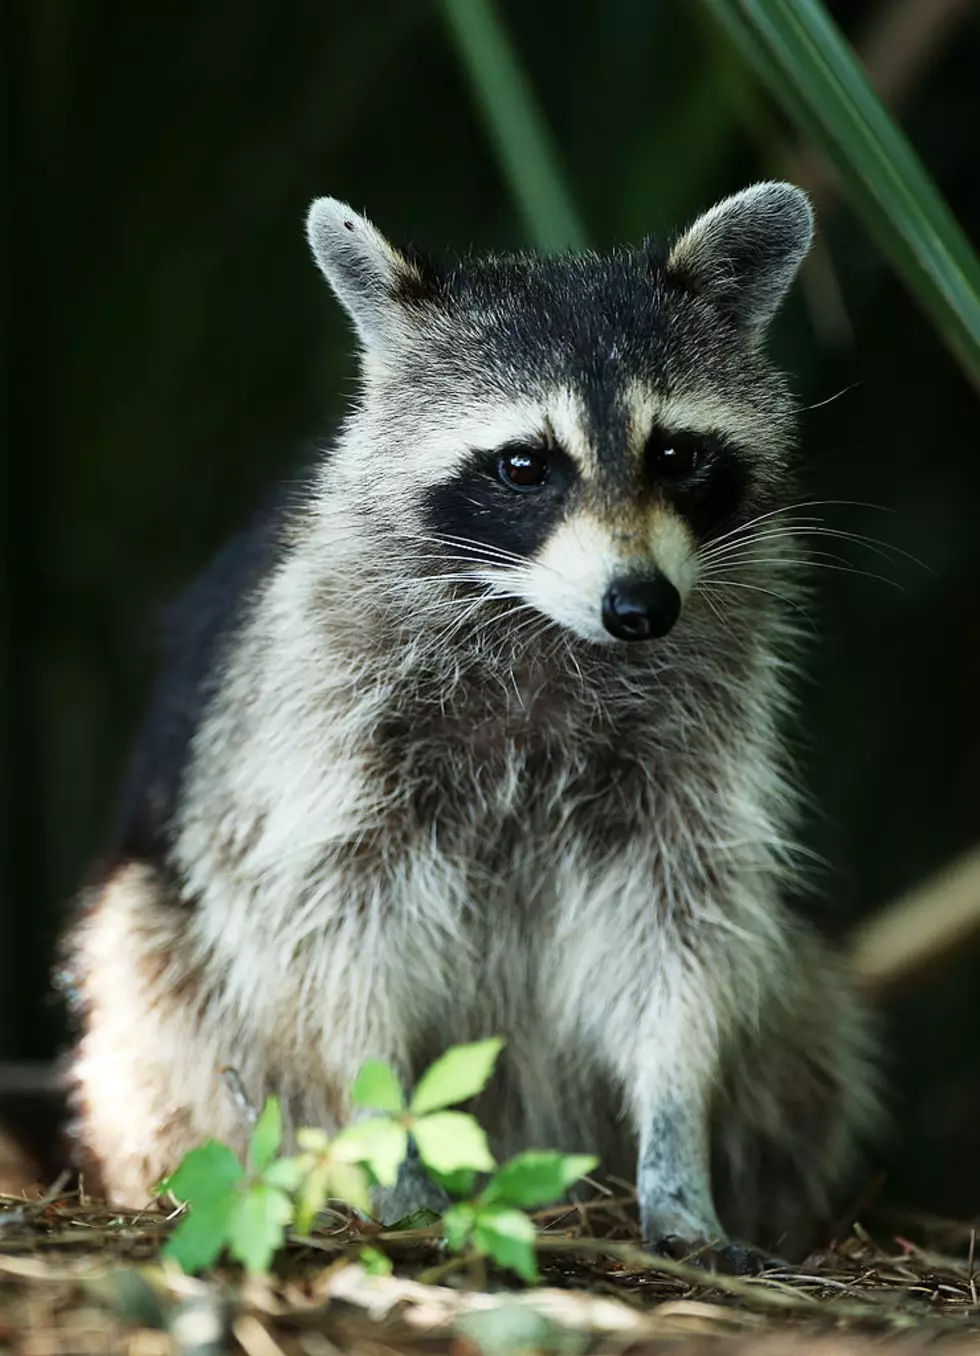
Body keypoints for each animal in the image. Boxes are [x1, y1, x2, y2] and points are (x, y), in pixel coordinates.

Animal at [65, 183, 883, 1269]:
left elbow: (682, 931)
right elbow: (324, 930)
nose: (640, 607)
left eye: (675, 454)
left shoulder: (695, 741)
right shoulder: (316, 721)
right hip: (161, 985)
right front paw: (392, 1146)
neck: (544, 621)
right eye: (524, 466)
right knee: (154, 959)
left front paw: (678, 1145)